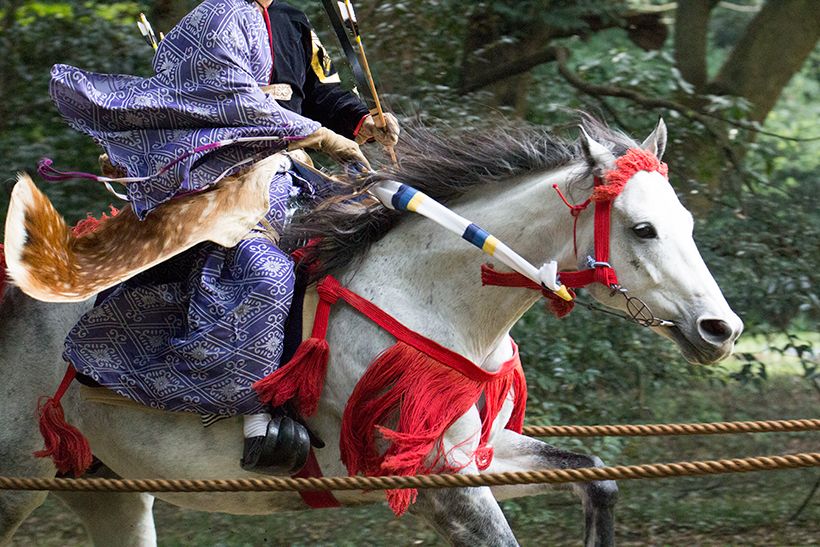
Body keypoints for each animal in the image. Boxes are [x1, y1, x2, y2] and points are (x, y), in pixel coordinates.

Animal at [0, 120, 744, 547]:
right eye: (643, 229)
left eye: (685, 222)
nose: (721, 328)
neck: (430, 297)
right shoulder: (439, 481)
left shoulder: (478, 455)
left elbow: (599, 480)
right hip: (17, 480)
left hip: (109, 491)